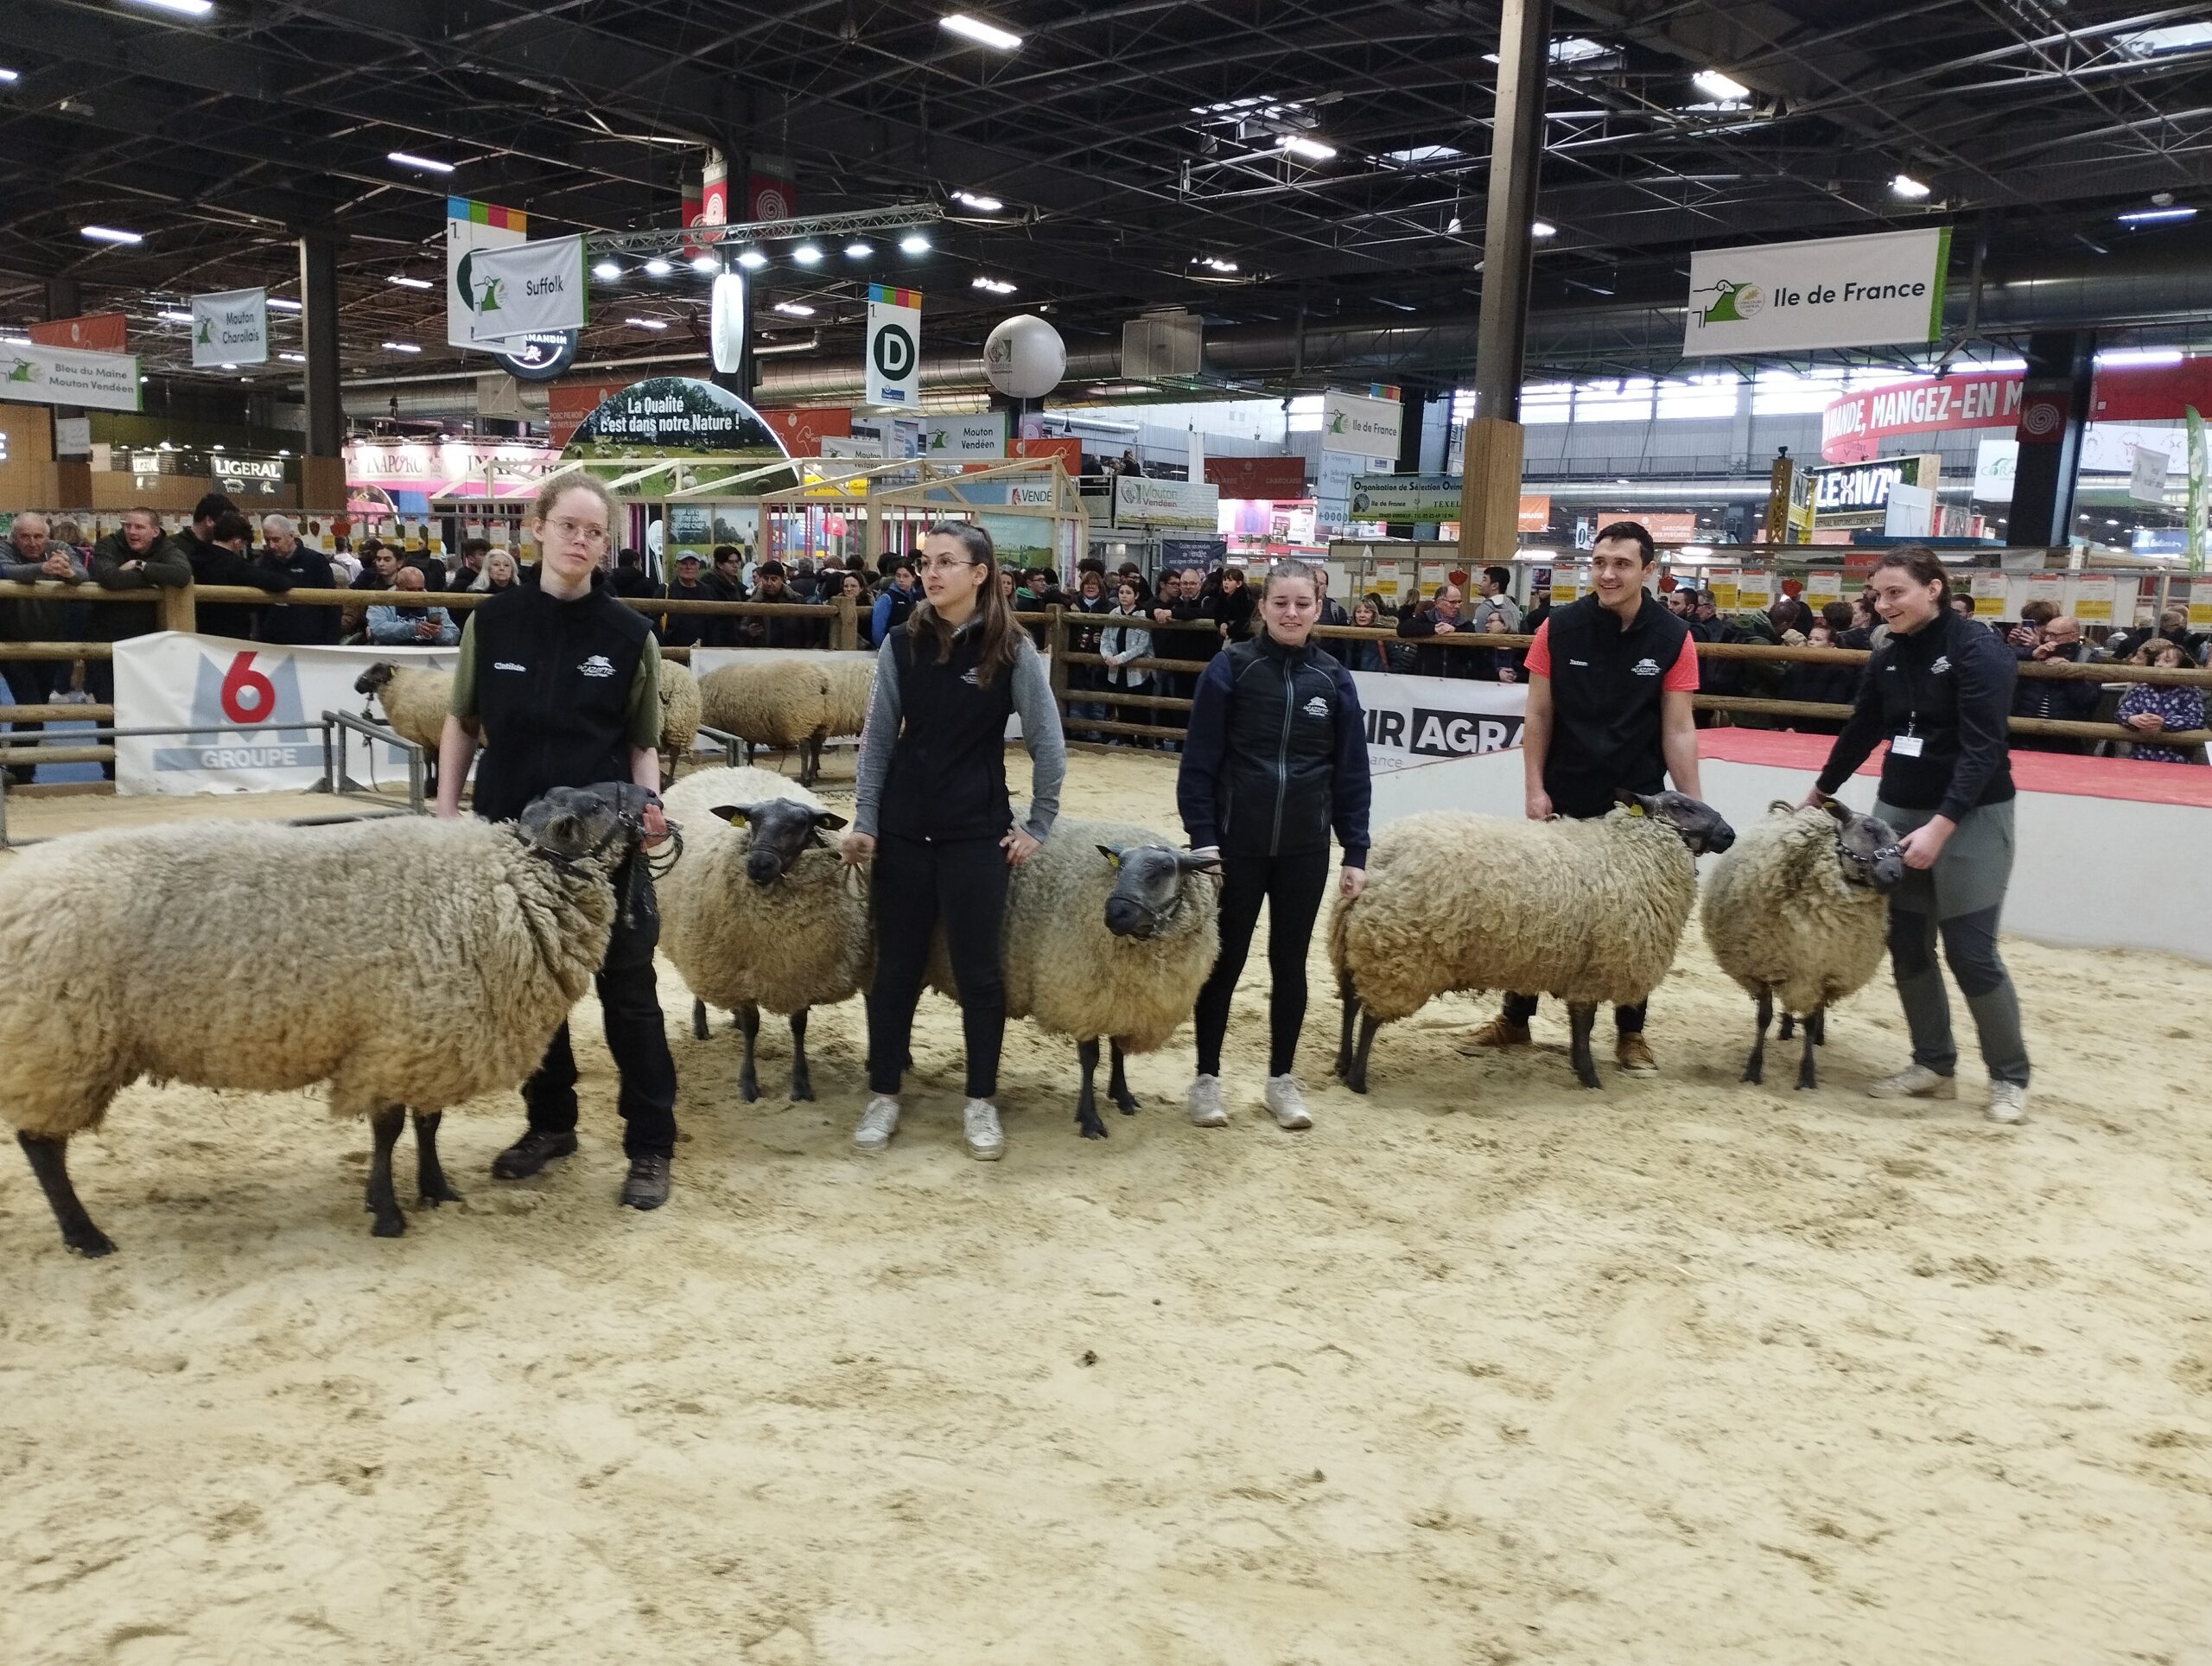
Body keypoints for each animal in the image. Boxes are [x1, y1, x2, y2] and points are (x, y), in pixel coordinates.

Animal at [4, 787, 645, 1256]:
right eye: (594, 806)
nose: (644, 795)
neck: (503, 885)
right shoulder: (393, 1043)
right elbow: (389, 1130)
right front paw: (387, 1212)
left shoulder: (429, 1039)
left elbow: (428, 1124)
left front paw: (437, 1190)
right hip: (60, 1045)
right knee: (40, 1146)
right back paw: (85, 1235)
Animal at [650, 765, 867, 1106]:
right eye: (752, 821)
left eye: (801, 825)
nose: (758, 864)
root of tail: (722, 768)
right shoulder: (740, 974)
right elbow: (753, 1027)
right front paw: (748, 1084)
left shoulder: (800, 975)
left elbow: (799, 1026)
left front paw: (801, 1083)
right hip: (703, 950)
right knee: (699, 985)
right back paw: (701, 1024)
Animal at [919, 814, 1221, 1141]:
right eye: (1120, 866)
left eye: (1164, 870)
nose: (1114, 913)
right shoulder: (1081, 997)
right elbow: (1090, 1060)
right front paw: (1089, 1119)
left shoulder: (1123, 1002)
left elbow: (1118, 1050)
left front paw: (1122, 1096)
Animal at [1318, 787, 1734, 1092]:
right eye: (1680, 806)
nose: (1730, 834)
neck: (1631, 849)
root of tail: (1377, 863)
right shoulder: (1593, 970)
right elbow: (1584, 1025)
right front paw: (1589, 1077)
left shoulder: (1582, 968)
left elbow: (1579, 1024)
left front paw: (1581, 1070)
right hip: (1398, 955)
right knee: (1370, 1017)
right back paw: (1357, 1079)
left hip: (1356, 945)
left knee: (1350, 1003)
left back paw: (1341, 1063)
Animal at [1689, 796, 1902, 1084]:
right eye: (1868, 829)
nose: (1896, 874)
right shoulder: (1764, 967)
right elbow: (1763, 1018)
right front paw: (1753, 1068)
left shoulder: (1822, 975)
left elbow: (1810, 1022)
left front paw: (1807, 1073)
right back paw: (1787, 1028)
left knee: (1815, 1013)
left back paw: (1817, 1035)